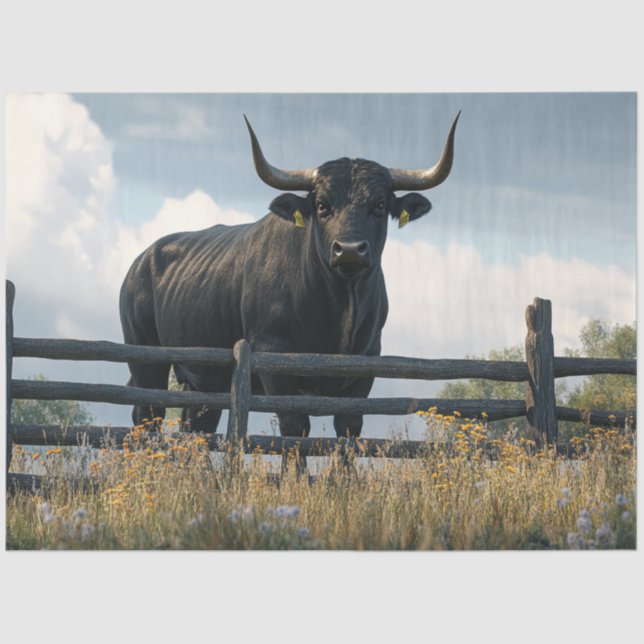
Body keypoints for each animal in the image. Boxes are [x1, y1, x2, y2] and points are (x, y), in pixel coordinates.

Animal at [119, 113, 459, 439]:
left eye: (378, 205)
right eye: (321, 205)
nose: (349, 250)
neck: (339, 310)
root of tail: (141, 262)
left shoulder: (366, 366)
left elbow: (348, 426)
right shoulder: (275, 363)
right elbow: (295, 428)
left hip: (203, 380)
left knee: (197, 426)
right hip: (146, 361)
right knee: (148, 415)